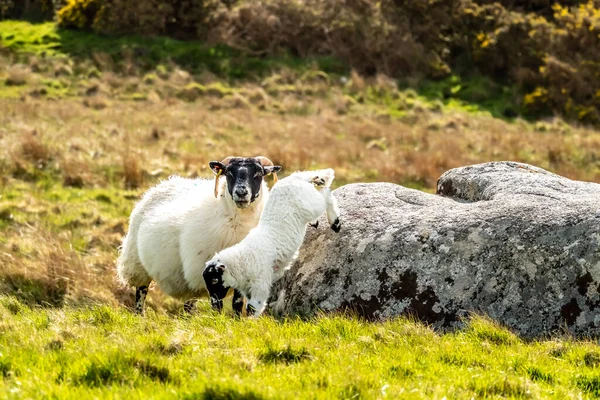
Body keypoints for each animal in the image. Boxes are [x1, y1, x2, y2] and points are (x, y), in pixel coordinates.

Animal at [116, 156, 282, 316]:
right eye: (229, 173)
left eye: (258, 174)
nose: (241, 193)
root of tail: (163, 184)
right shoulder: (211, 274)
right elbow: (216, 304)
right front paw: (218, 321)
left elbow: (237, 303)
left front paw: (236, 320)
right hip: (138, 264)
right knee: (141, 293)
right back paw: (140, 316)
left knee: (188, 303)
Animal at [203, 167, 340, 318]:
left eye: (215, 280)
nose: (215, 305)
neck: (243, 259)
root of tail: (294, 178)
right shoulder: (248, 289)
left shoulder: (260, 285)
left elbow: (252, 308)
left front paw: (251, 323)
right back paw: (318, 221)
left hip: (311, 205)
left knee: (326, 195)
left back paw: (335, 222)